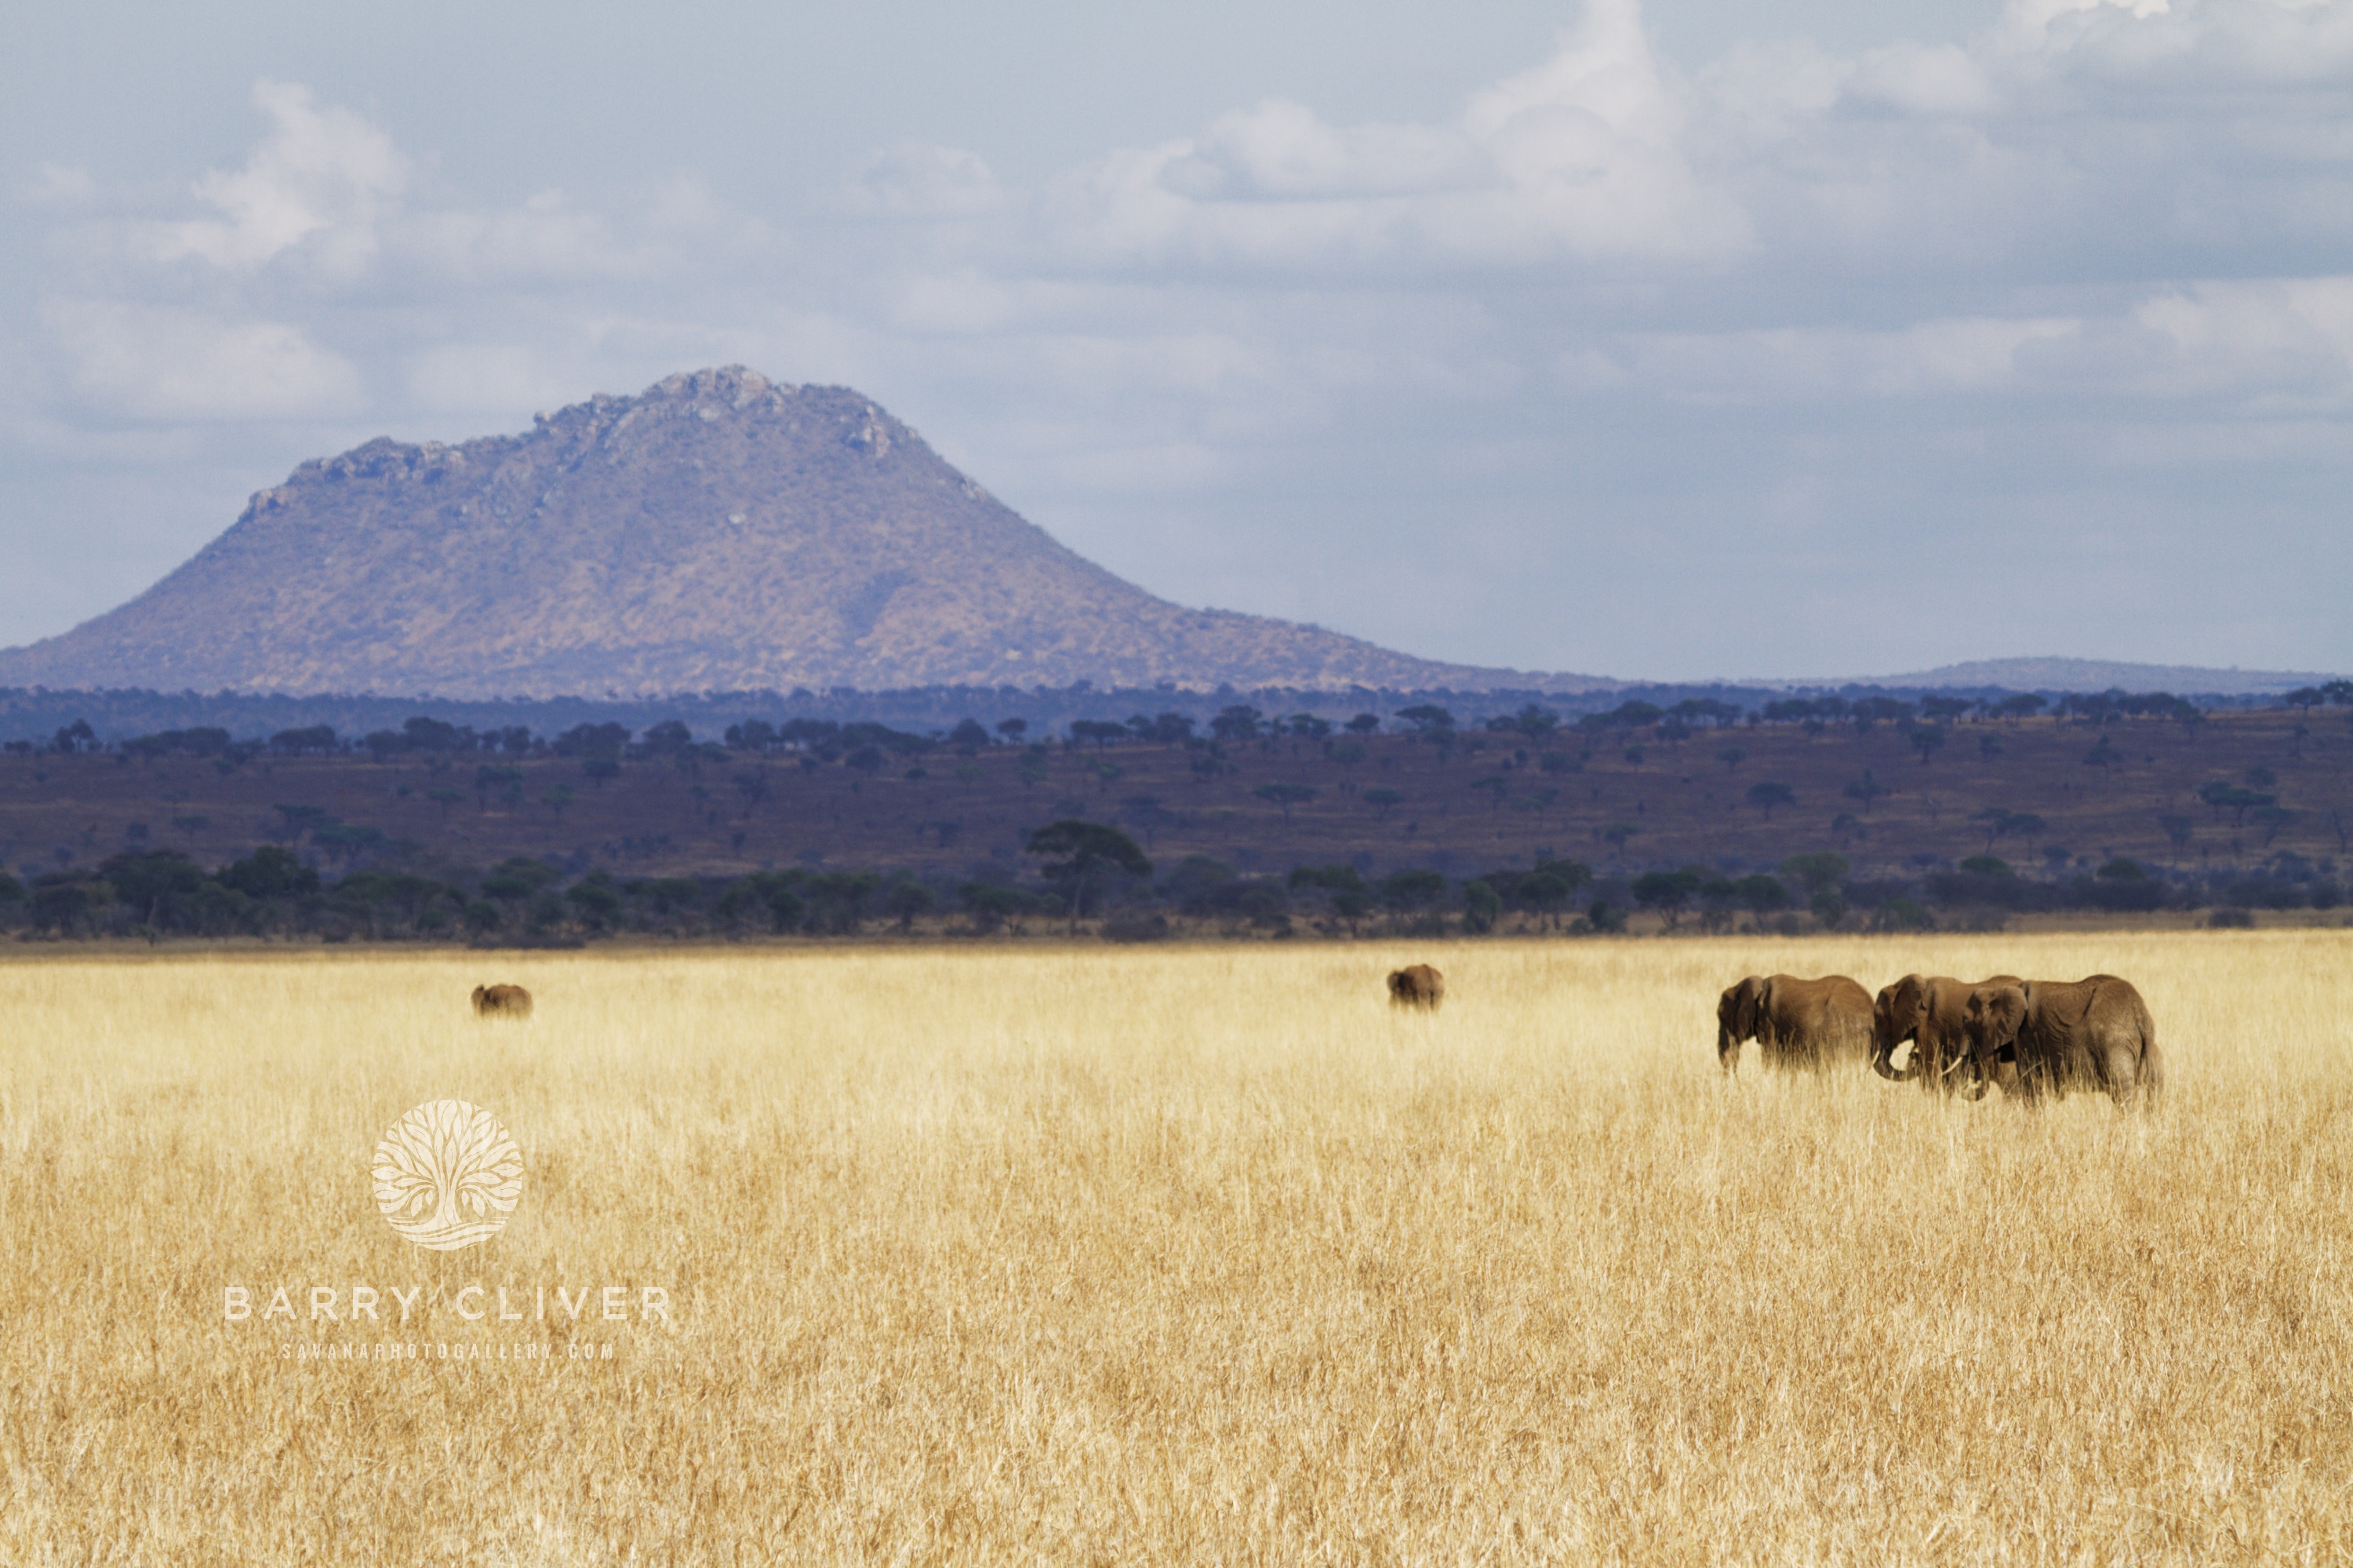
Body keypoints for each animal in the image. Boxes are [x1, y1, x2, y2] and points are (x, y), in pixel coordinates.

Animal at [1962, 977, 2161, 1107]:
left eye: (1967, 1022)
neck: (2000, 991)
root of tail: (2141, 1015)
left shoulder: (2027, 1035)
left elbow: (2031, 1083)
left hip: (2115, 1043)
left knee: (2122, 1089)